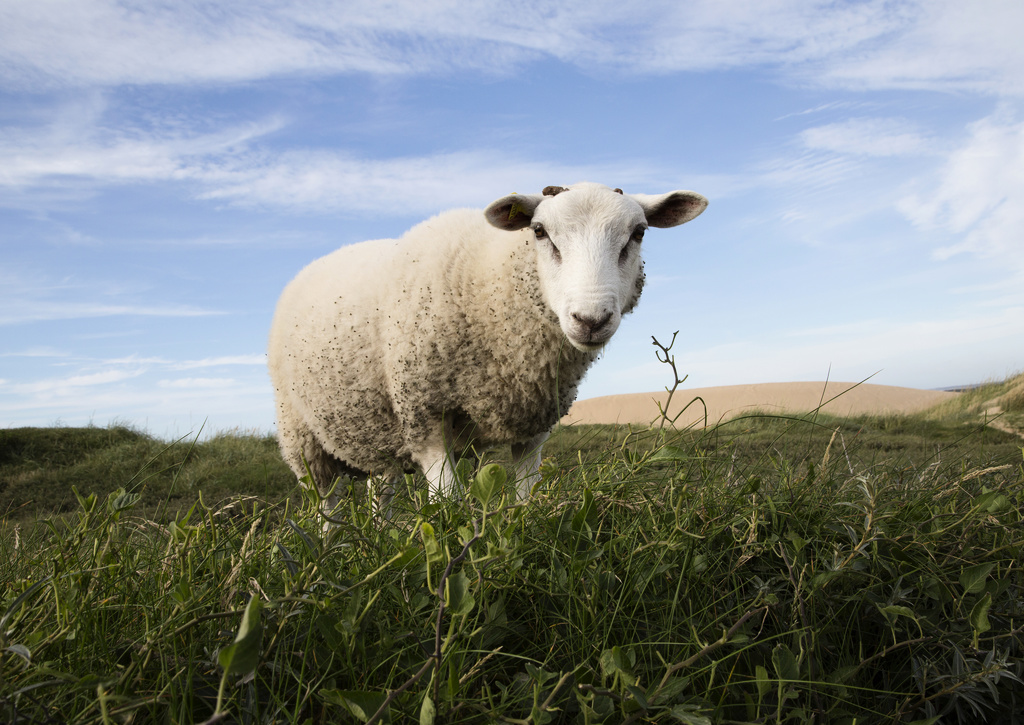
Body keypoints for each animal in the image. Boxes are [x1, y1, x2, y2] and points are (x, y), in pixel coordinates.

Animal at [268, 181, 708, 509]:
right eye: (539, 232)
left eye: (638, 233)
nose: (591, 319)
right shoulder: (425, 415)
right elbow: (450, 505)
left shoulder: (533, 427)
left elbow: (526, 500)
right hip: (302, 437)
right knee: (326, 505)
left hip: (375, 431)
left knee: (382, 490)